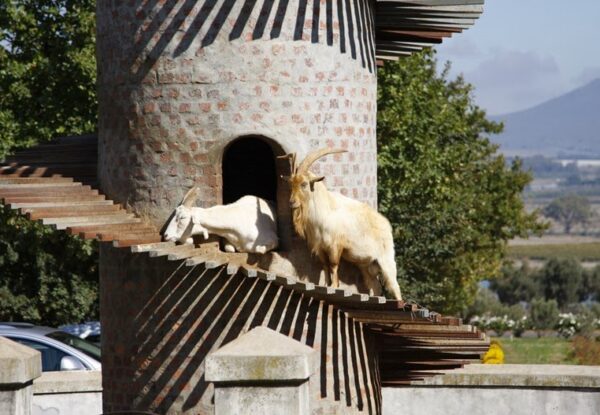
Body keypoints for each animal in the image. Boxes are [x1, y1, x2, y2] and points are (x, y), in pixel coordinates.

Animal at [282, 148, 404, 300]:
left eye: (304, 184)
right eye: (290, 184)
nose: (291, 202)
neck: (325, 210)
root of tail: (385, 225)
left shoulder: (335, 245)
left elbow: (333, 265)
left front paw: (334, 286)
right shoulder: (321, 247)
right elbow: (325, 265)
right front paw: (326, 285)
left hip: (386, 259)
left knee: (395, 286)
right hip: (367, 265)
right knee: (376, 287)